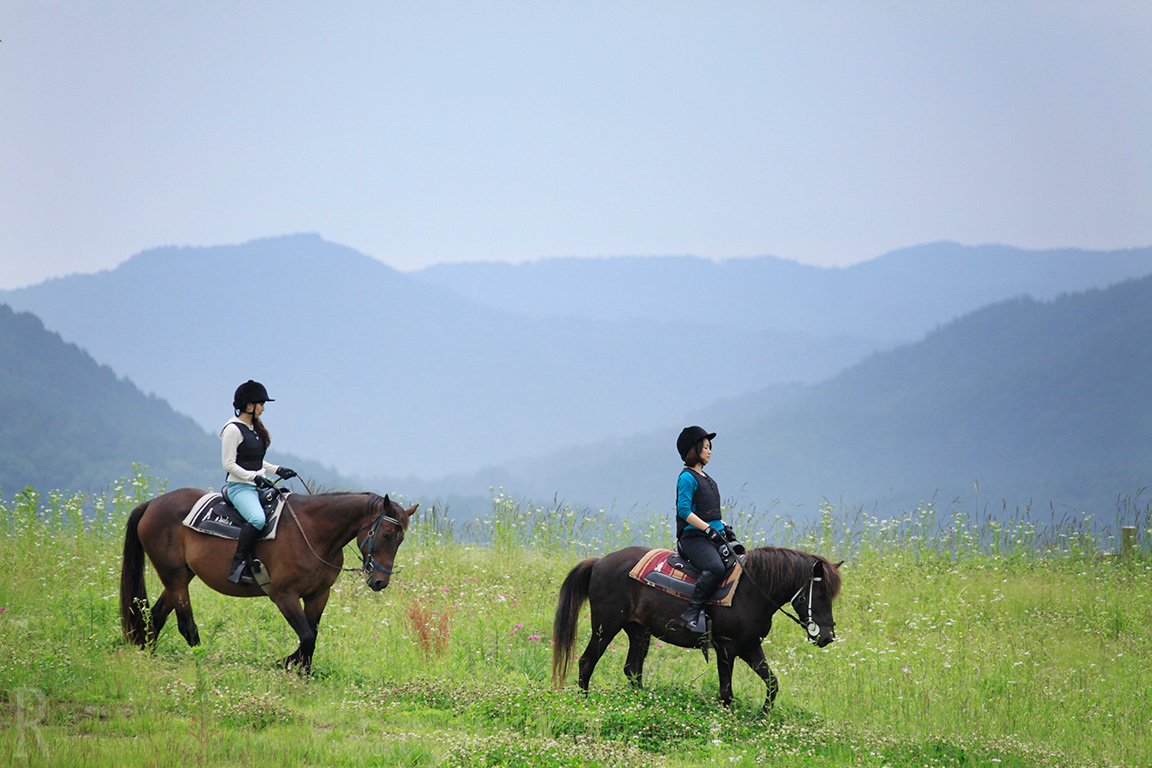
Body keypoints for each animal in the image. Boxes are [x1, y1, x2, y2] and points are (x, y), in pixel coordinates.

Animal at [116, 485, 412, 672]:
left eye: (401, 539)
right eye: (386, 534)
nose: (380, 582)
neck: (313, 531)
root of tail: (151, 504)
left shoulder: (318, 595)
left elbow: (312, 636)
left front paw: (301, 672)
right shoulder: (283, 596)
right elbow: (307, 636)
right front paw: (285, 663)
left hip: (180, 577)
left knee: (155, 617)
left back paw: (148, 655)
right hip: (175, 578)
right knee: (186, 626)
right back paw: (203, 661)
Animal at [552, 543, 843, 713]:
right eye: (819, 595)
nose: (827, 636)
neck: (750, 589)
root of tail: (600, 562)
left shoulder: (750, 646)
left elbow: (772, 683)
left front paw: (763, 716)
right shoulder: (726, 648)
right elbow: (726, 692)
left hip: (638, 631)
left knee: (633, 669)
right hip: (606, 625)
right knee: (587, 661)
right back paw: (584, 705)